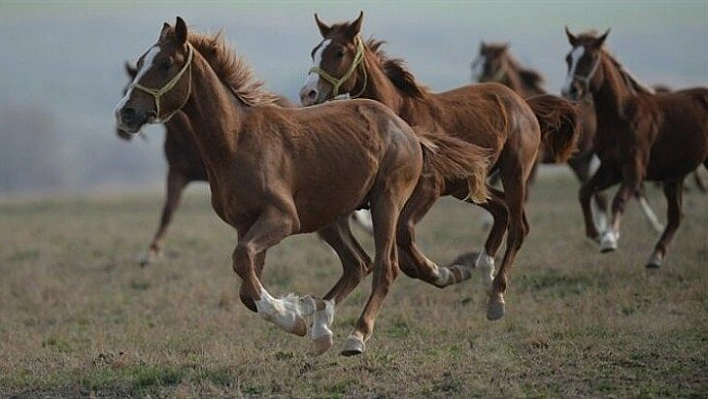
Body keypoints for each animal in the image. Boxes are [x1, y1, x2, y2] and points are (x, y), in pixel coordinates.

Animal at [115, 18, 492, 356]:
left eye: (165, 63)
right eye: (141, 61)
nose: (125, 113)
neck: (236, 140)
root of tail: (405, 128)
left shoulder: (282, 218)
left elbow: (242, 261)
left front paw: (291, 316)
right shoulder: (245, 225)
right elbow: (246, 285)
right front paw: (298, 309)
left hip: (386, 202)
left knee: (385, 267)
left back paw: (356, 336)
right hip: (330, 218)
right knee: (357, 263)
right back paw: (323, 326)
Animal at [300, 12, 580, 324]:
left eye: (338, 52)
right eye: (314, 51)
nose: (308, 93)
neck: (403, 115)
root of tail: (524, 103)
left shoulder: (428, 189)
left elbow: (404, 234)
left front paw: (442, 272)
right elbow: (401, 252)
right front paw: (450, 270)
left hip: (515, 171)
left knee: (519, 226)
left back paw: (497, 296)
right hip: (465, 186)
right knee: (502, 209)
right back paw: (485, 270)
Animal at [472, 41, 668, 233]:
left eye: (493, 61)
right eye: (475, 63)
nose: (478, 80)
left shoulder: (533, 161)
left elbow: (521, 193)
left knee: (632, 190)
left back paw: (653, 225)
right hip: (580, 162)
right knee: (600, 196)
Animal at [560, 28, 704, 268]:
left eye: (590, 58)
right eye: (569, 58)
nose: (569, 90)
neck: (622, 116)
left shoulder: (634, 169)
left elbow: (619, 199)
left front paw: (610, 239)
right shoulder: (611, 168)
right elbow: (585, 192)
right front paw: (595, 233)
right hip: (675, 175)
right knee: (676, 216)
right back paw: (655, 257)